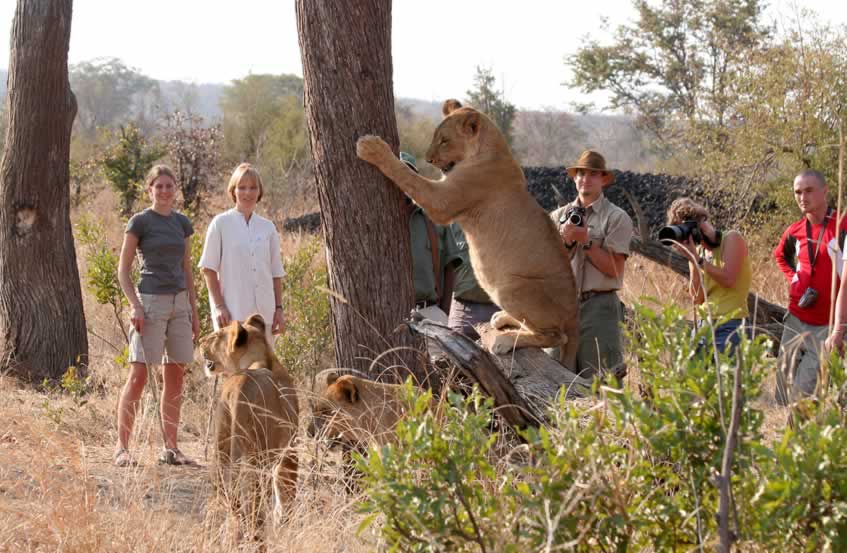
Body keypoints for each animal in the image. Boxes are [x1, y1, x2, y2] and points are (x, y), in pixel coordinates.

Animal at [199, 314, 299, 537]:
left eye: (216, 335)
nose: (200, 341)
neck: (262, 356)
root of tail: (240, 386)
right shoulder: (291, 446)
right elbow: (286, 487)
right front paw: (283, 520)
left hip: (226, 447)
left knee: (227, 492)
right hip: (258, 455)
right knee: (255, 501)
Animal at [356, 99, 580, 368]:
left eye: (444, 140)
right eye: (435, 137)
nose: (429, 159)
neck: (493, 147)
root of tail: (575, 314)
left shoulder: (443, 201)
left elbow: (407, 175)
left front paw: (372, 147)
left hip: (511, 287)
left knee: (557, 336)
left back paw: (505, 340)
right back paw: (503, 318)